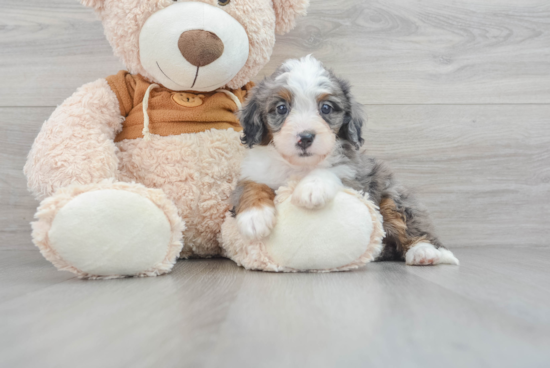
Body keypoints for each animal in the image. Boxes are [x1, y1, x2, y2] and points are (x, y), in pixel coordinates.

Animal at [233, 56, 462, 266]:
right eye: (281, 108)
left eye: (325, 108)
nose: (305, 137)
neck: (298, 166)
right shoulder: (255, 172)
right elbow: (251, 186)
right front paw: (254, 218)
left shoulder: (356, 176)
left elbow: (332, 171)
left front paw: (311, 188)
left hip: (394, 197)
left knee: (412, 227)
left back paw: (424, 252)